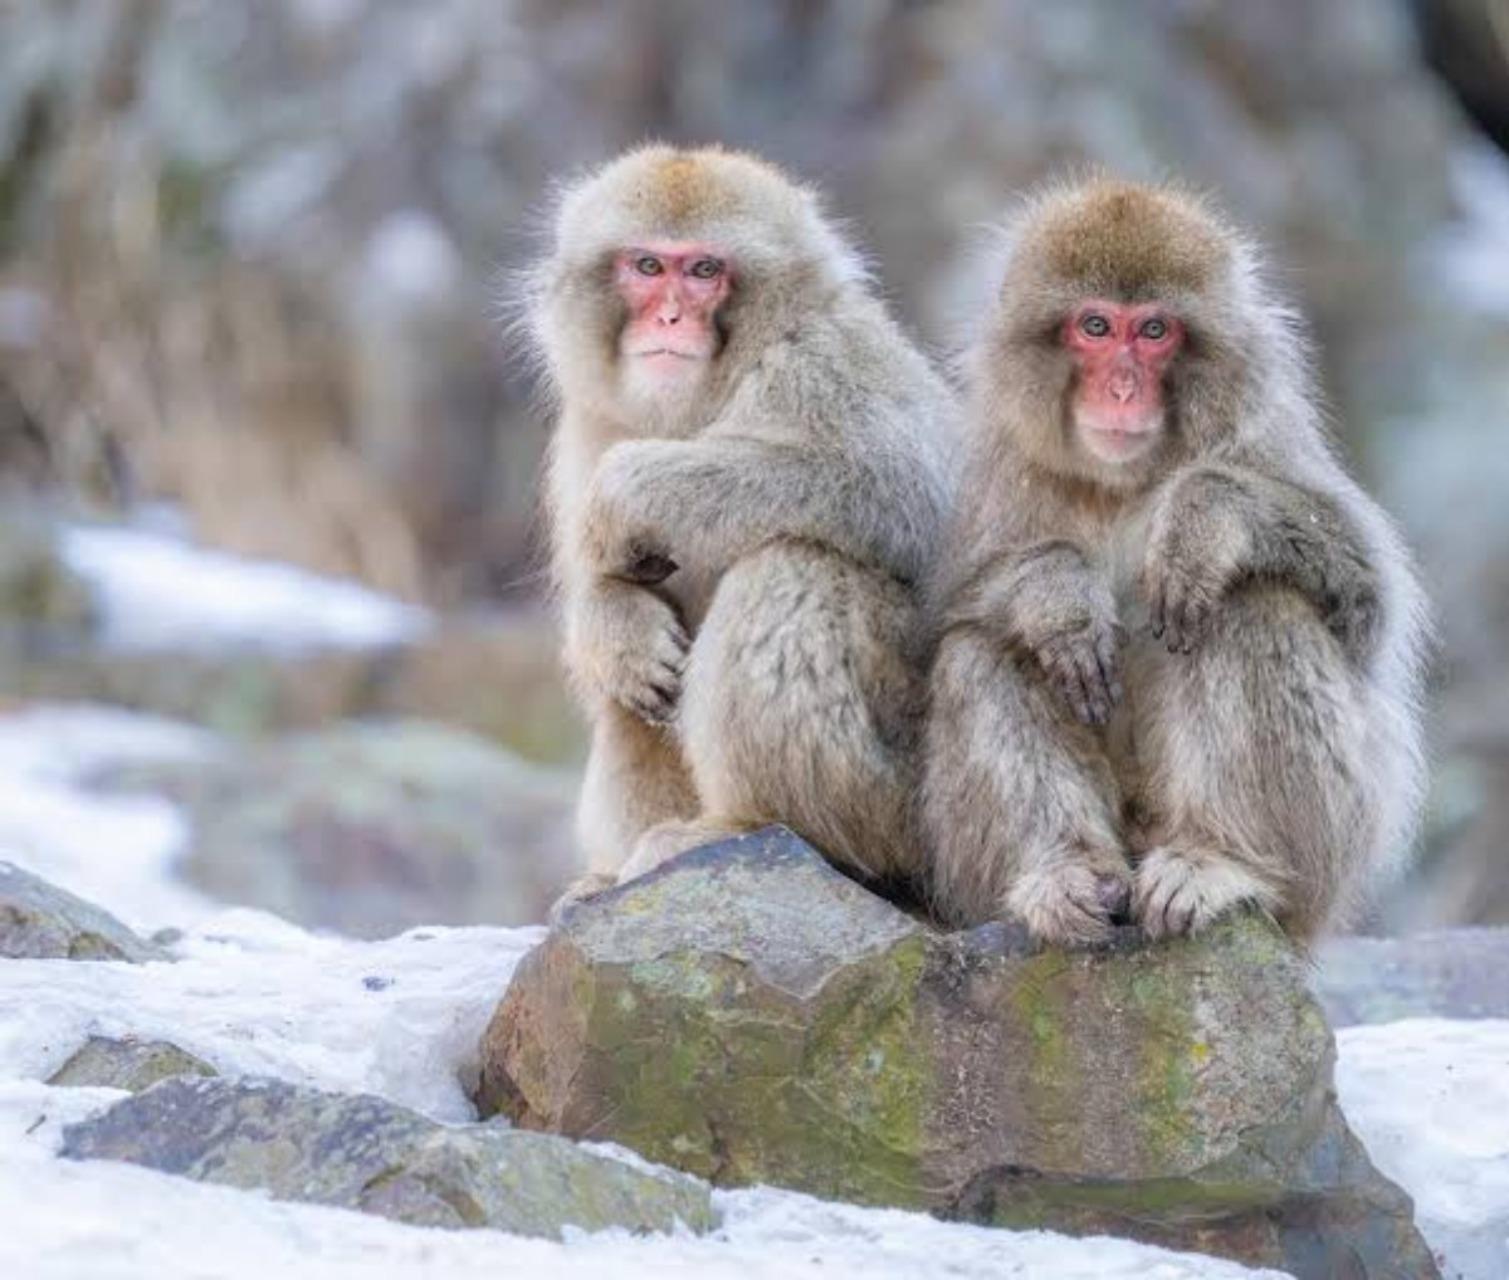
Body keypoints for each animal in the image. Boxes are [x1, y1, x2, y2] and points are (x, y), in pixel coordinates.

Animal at [525, 144, 959, 908]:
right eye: (647, 266)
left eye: (705, 271)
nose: (670, 318)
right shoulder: (590, 423)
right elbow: (604, 593)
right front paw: (613, 624)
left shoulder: (822, 361)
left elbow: (910, 494)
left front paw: (631, 489)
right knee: (625, 703)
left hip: (915, 799)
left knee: (791, 567)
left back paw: (750, 825)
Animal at [923, 177, 1429, 947]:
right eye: (1095, 327)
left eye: (1155, 332)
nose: (1122, 388)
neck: (1123, 480)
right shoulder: (1000, 465)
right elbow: (948, 611)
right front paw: (1055, 597)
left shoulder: (1263, 432)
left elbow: (1366, 593)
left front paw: (1203, 520)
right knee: (983, 650)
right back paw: (1067, 870)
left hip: (1327, 862)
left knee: (1252, 603)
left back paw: (1220, 859)